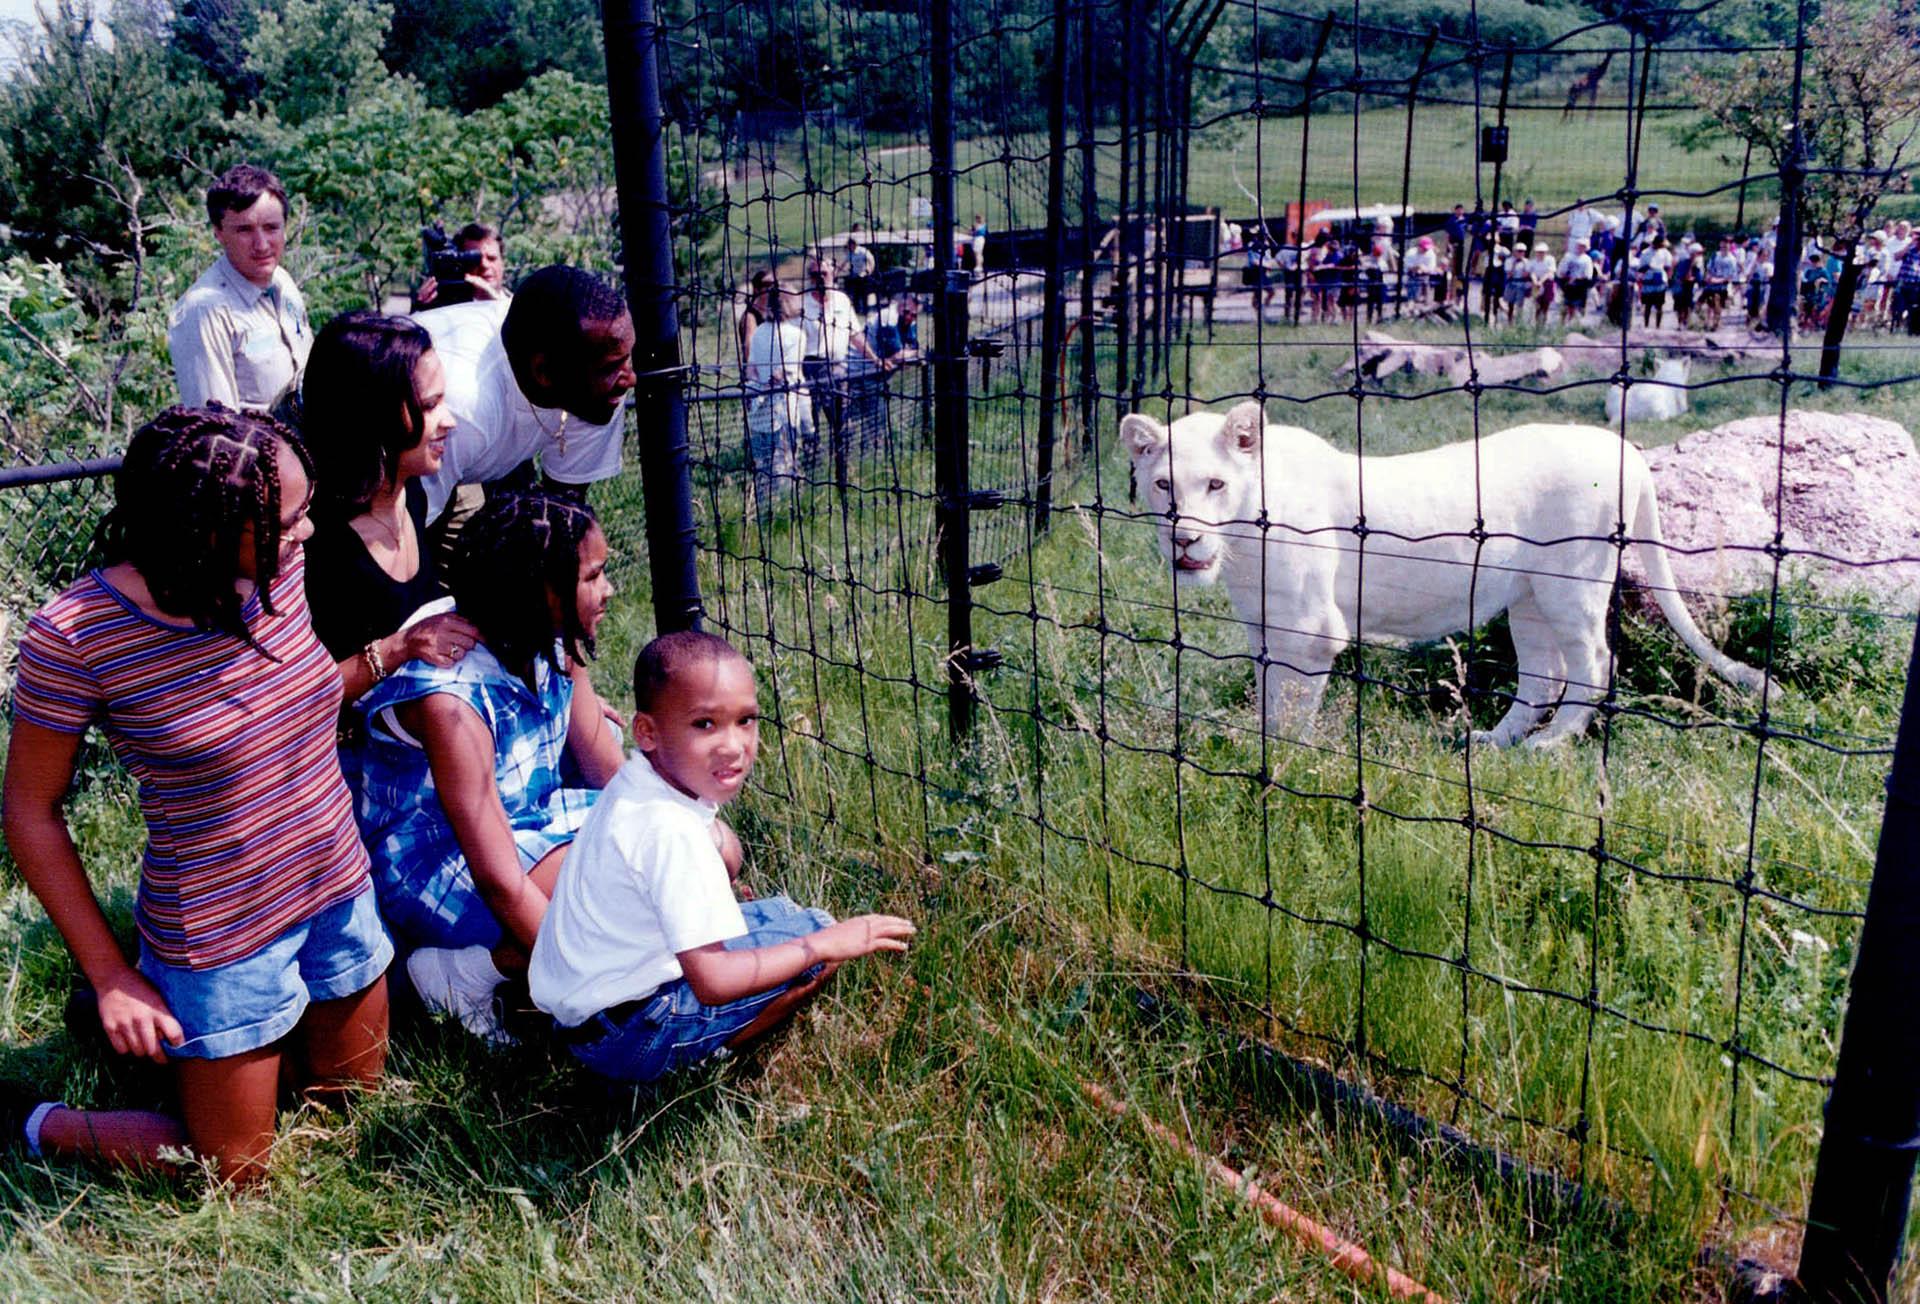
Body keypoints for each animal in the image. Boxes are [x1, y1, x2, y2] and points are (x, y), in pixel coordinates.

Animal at [1121, 397, 1766, 748]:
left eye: (1215, 484)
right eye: (1163, 485)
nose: (1184, 538)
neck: (1240, 542)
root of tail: (1624, 447)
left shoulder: (1311, 631)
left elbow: (1291, 704)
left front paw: (1282, 761)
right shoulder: (1265, 624)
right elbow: (1267, 691)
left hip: (1572, 585)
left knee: (1594, 667)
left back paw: (1549, 745)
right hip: (1527, 599)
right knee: (1543, 675)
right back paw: (1493, 741)